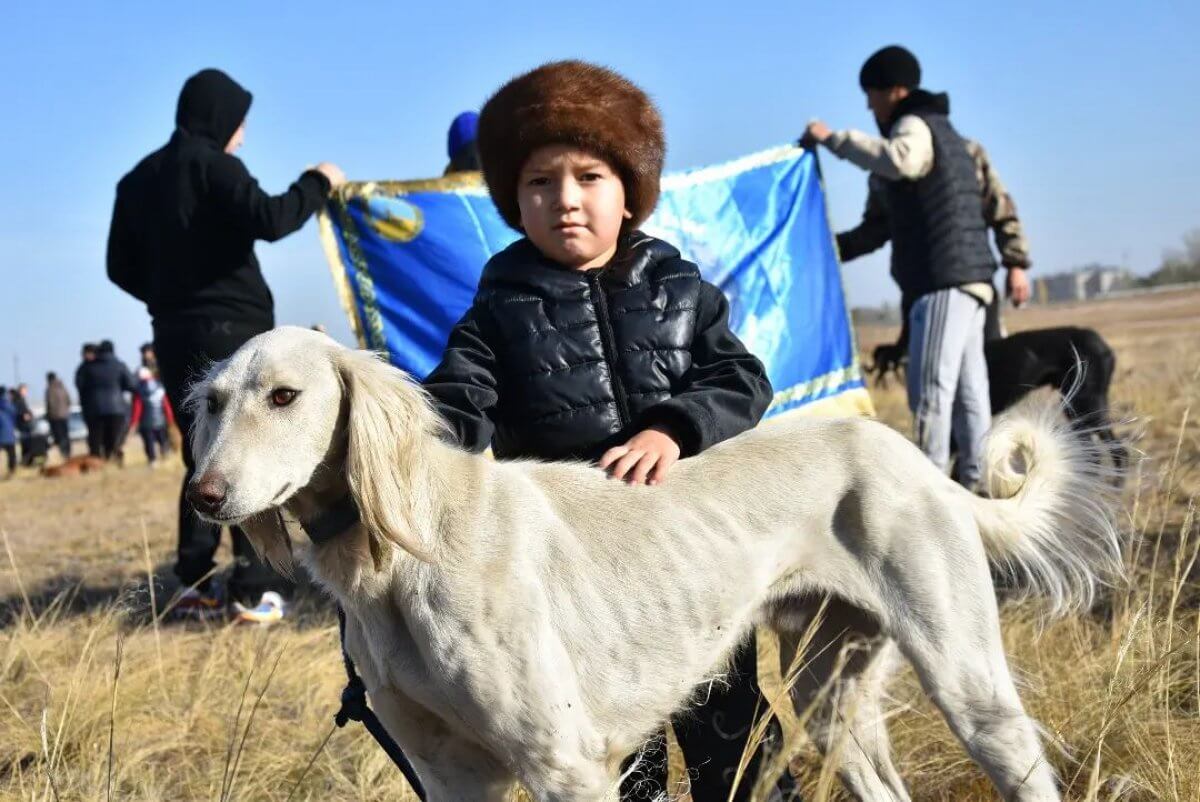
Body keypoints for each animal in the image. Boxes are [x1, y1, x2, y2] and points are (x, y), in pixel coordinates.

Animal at [187, 326, 1123, 802]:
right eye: (210, 403)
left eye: (285, 396)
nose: (203, 495)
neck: (397, 559)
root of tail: (917, 461)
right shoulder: (453, 777)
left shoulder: (566, 766)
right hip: (831, 694)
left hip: (967, 681)